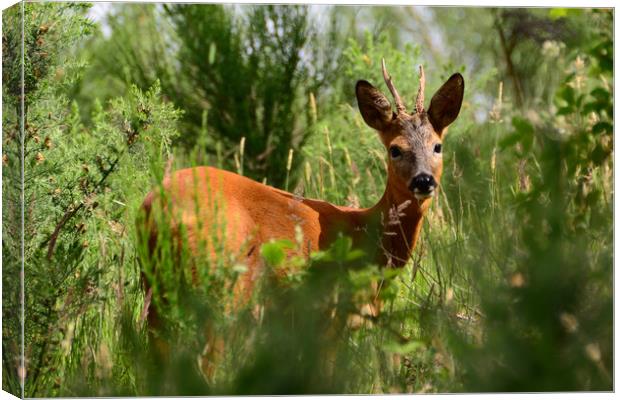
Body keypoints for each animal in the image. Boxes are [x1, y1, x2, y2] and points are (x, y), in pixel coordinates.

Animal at [138, 59, 462, 382]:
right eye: (395, 149)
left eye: (437, 146)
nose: (424, 180)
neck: (367, 237)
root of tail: (159, 208)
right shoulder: (330, 314)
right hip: (220, 289)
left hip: (156, 290)